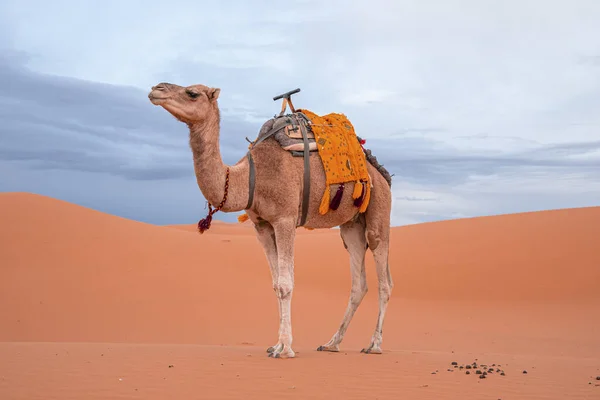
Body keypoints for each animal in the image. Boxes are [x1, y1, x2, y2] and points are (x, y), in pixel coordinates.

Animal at [149, 83, 394, 358]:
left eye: (192, 93)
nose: (156, 89)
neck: (251, 177)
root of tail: (382, 174)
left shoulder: (285, 218)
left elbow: (286, 284)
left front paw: (285, 348)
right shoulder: (262, 226)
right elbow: (276, 284)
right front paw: (276, 344)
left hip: (379, 210)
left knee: (384, 280)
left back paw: (374, 345)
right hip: (351, 225)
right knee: (358, 281)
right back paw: (332, 343)